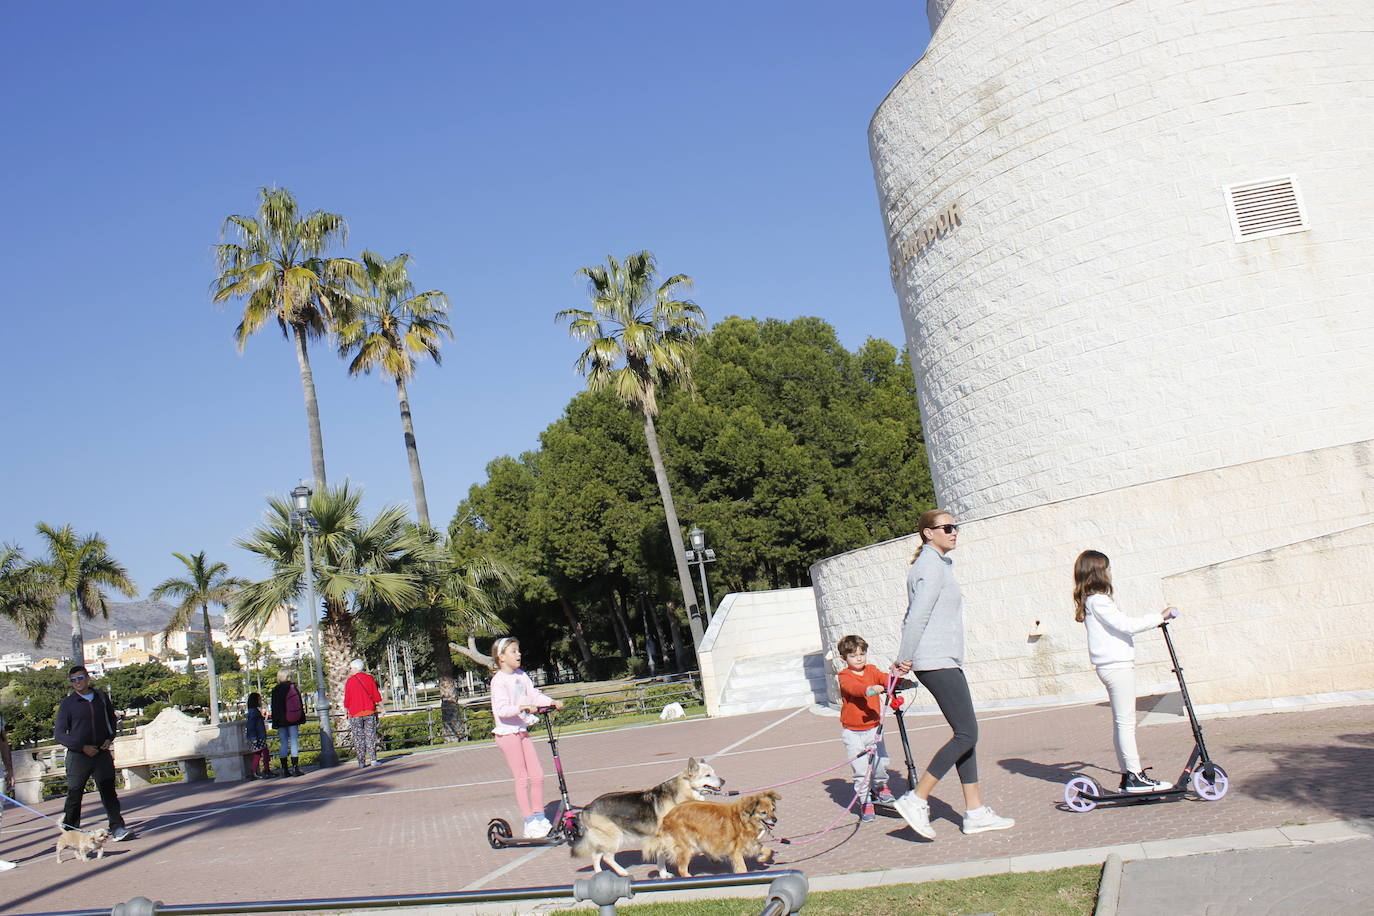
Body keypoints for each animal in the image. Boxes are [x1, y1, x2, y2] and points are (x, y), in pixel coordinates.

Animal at [568, 758, 725, 878]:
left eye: (714, 773)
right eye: (708, 775)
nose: (723, 781)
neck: (684, 790)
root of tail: (587, 807)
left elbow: (661, 858)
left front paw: (663, 875)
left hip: (604, 839)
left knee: (596, 856)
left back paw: (599, 874)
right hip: (614, 837)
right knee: (607, 857)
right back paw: (623, 872)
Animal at [645, 791, 780, 878]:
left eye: (773, 809)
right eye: (763, 812)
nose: (775, 820)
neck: (744, 819)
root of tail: (667, 817)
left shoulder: (751, 843)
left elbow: (766, 850)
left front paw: (762, 858)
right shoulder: (736, 852)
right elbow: (743, 869)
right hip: (687, 847)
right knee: (682, 869)